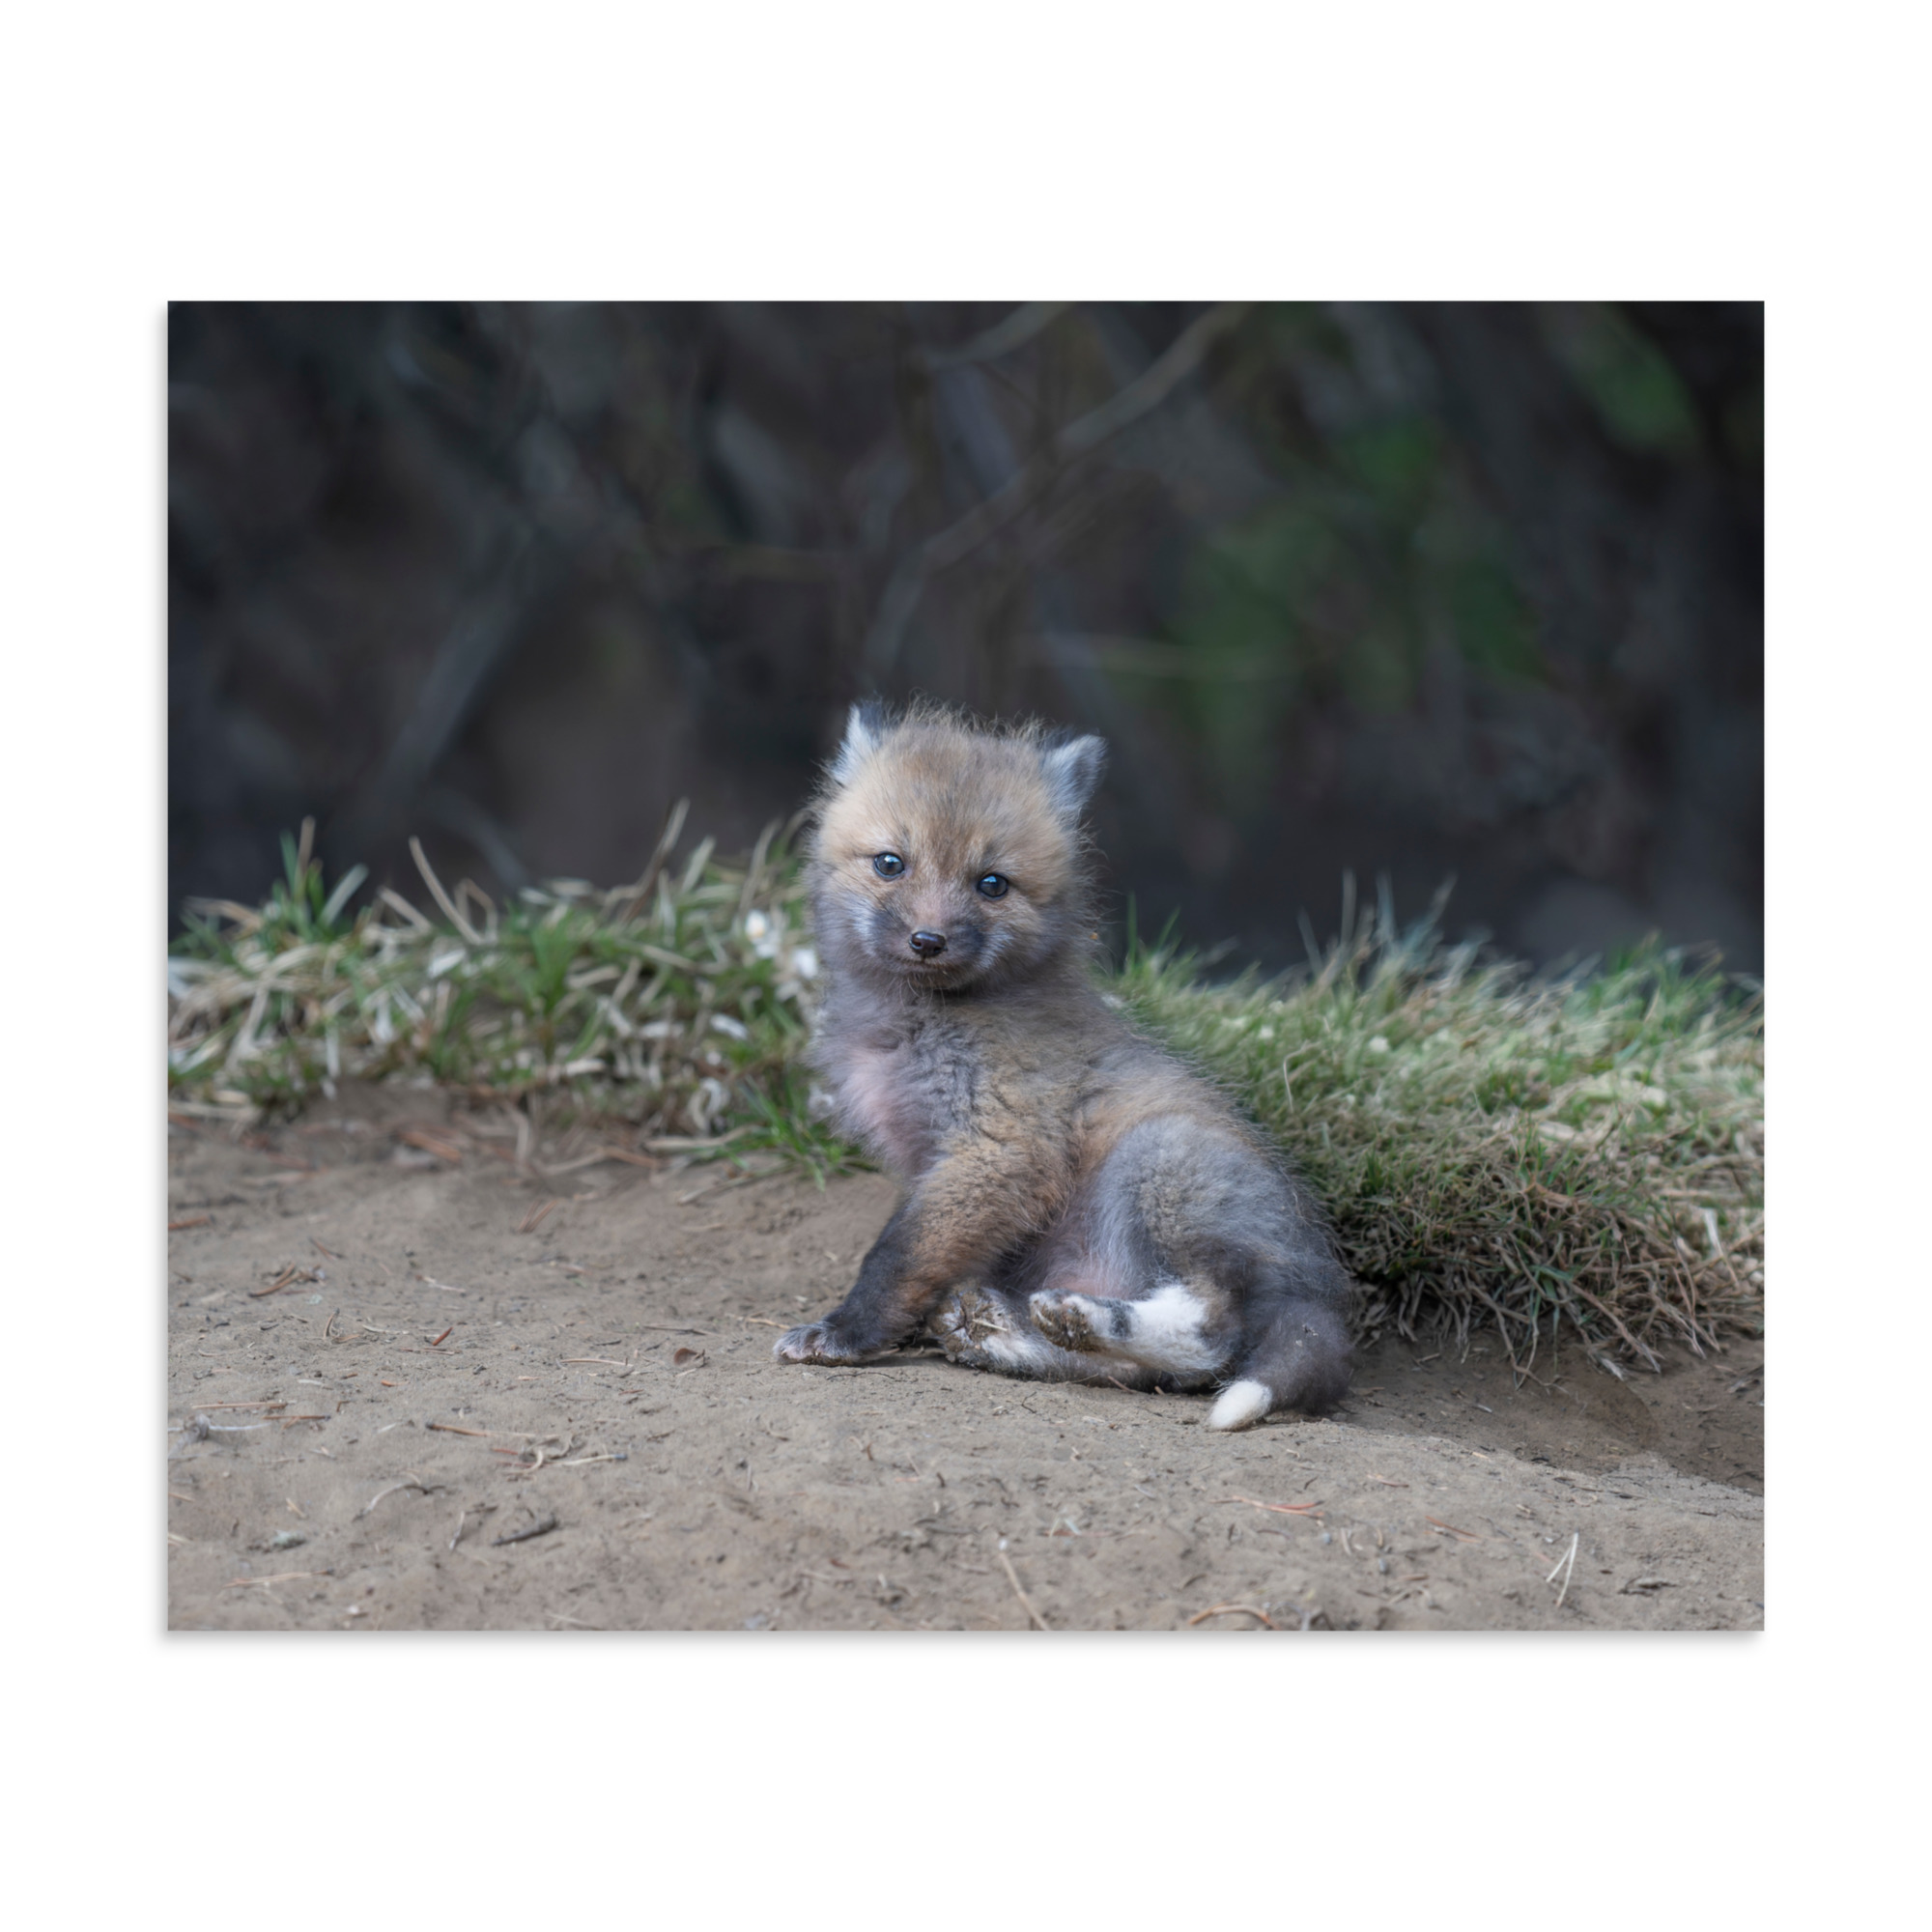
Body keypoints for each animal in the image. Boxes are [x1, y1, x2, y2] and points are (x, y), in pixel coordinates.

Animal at [773, 702, 1354, 1430]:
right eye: (890, 864)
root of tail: (1321, 1289)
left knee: (1212, 1336)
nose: (928, 941)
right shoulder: (937, 1163)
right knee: (1143, 1373)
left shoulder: (999, 1148)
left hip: (1158, 1161)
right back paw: (1007, 1333)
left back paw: (1081, 1319)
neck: (920, 1022)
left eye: (992, 884)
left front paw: (846, 1333)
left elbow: (897, 1256)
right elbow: (922, 1256)